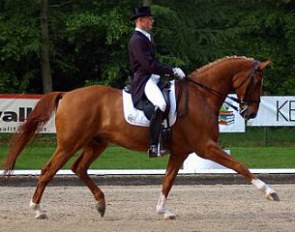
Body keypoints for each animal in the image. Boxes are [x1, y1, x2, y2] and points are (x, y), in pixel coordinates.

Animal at [2, 55, 280, 219]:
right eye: (258, 82)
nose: (251, 112)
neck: (201, 96)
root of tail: (67, 94)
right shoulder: (205, 147)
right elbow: (240, 166)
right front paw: (269, 192)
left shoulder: (181, 151)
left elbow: (168, 180)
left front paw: (163, 210)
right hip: (69, 143)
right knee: (48, 170)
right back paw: (37, 210)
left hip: (96, 143)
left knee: (78, 168)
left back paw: (101, 204)